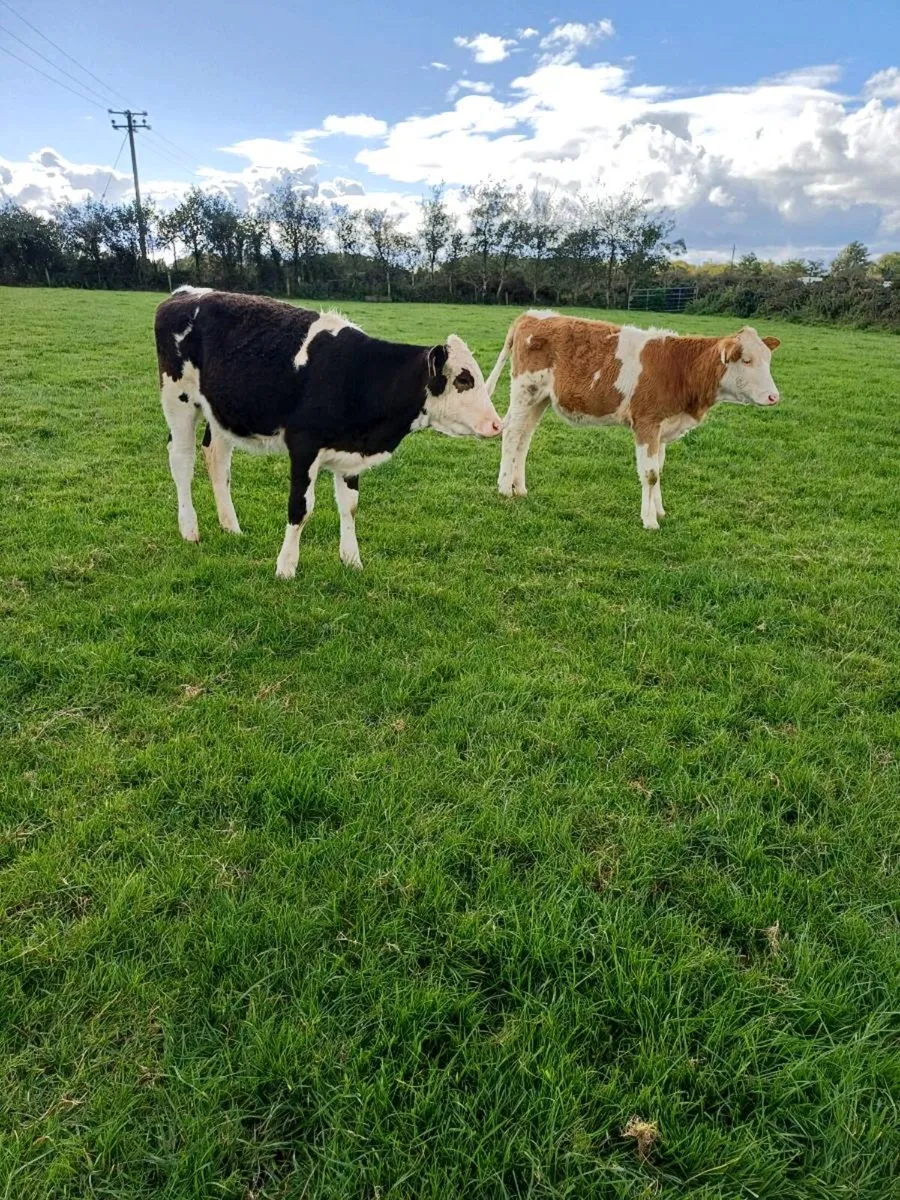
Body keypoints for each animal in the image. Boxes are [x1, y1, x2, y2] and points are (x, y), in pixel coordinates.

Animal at [154, 288, 502, 577]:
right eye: (463, 379)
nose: (497, 424)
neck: (359, 376)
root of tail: (185, 293)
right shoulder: (303, 446)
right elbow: (300, 508)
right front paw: (285, 567)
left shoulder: (351, 452)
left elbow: (350, 506)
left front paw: (351, 560)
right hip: (178, 401)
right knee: (181, 461)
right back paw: (189, 529)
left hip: (221, 413)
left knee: (217, 460)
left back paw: (231, 527)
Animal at [486, 311, 782, 530]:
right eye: (746, 360)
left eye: (768, 360)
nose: (773, 396)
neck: (680, 368)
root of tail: (531, 315)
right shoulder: (646, 423)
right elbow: (650, 474)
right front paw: (649, 521)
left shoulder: (663, 428)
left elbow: (659, 470)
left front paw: (659, 510)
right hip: (525, 391)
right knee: (511, 435)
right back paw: (504, 488)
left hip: (540, 399)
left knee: (524, 439)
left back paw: (519, 487)